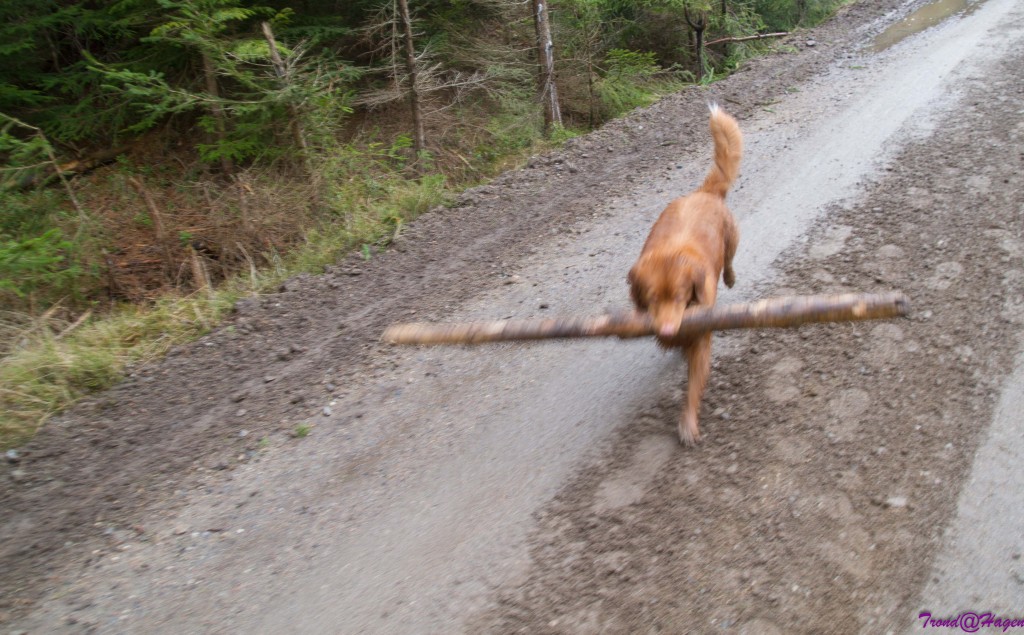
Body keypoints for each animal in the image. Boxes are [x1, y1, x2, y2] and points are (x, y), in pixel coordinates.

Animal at [622, 103, 745, 446]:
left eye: (680, 296)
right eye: (650, 299)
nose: (665, 331)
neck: (671, 255)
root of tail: (704, 192)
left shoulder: (702, 334)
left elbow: (693, 386)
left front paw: (688, 424)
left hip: (731, 237)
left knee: (730, 259)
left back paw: (730, 276)